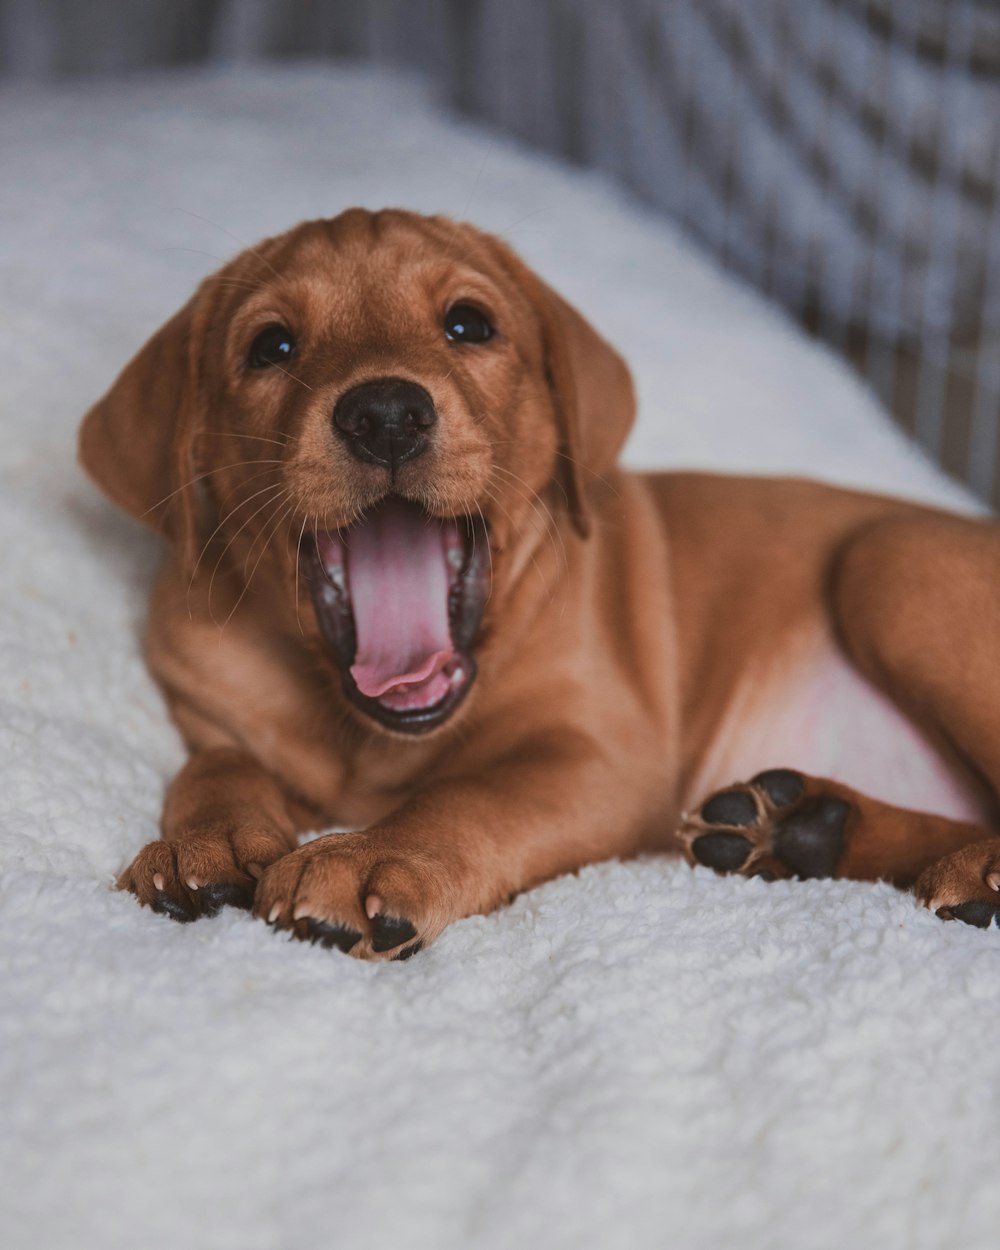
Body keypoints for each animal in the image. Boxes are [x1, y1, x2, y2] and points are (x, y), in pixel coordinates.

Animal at [78, 207, 1000, 955]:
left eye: (468, 323)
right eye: (271, 346)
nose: (384, 414)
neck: (365, 734)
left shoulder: (597, 755)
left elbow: (467, 797)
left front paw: (369, 854)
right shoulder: (207, 707)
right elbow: (215, 766)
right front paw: (207, 841)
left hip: (894, 561)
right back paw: (805, 830)